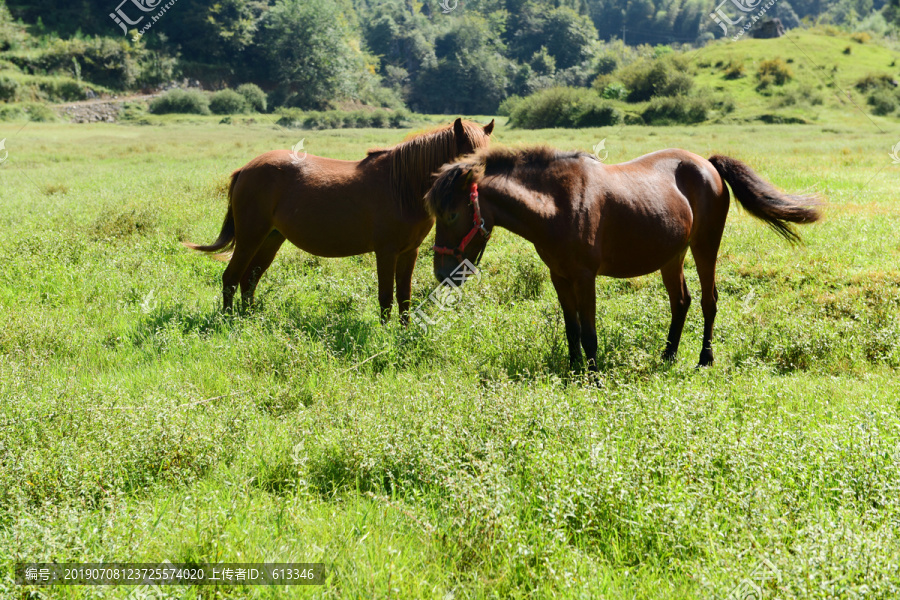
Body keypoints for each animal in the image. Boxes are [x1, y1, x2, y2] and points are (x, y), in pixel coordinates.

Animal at [184, 118, 494, 322]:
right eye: (468, 162)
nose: (483, 196)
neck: (402, 186)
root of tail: (246, 169)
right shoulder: (386, 252)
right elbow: (385, 297)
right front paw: (385, 336)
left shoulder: (410, 251)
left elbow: (404, 297)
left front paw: (403, 334)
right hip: (250, 237)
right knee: (231, 278)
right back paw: (228, 323)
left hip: (271, 238)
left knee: (249, 280)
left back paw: (248, 321)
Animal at [425, 146, 822, 370]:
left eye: (452, 214)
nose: (443, 273)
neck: (557, 204)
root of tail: (707, 164)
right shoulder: (559, 277)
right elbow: (572, 330)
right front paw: (573, 371)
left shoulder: (585, 277)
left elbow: (589, 333)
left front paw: (594, 376)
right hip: (672, 256)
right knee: (681, 302)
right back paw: (668, 356)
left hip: (704, 246)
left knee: (708, 301)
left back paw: (704, 359)